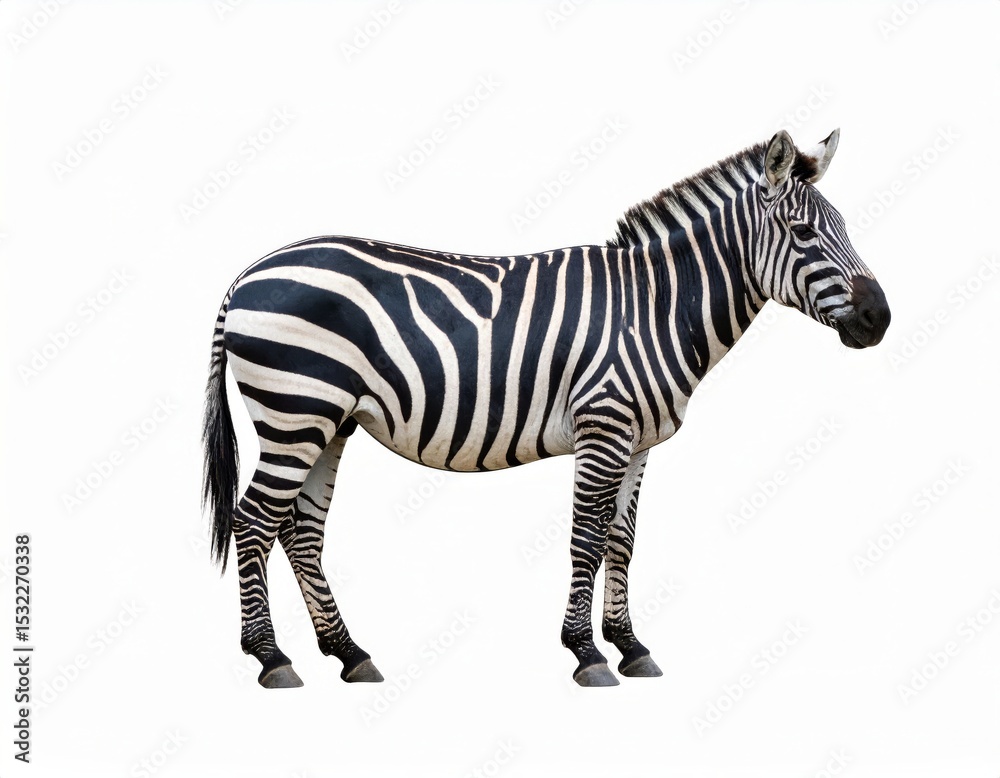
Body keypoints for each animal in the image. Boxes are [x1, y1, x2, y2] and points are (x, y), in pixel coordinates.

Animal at [202, 129, 890, 689]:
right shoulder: (603, 426)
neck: (655, 305)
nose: (879, 319)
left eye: (845, 227)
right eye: (804, 233)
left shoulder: (638, 440)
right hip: (295, 412)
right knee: (254, 521)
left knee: (301, 532)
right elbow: (586, 537)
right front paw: (587, 653)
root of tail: (246, 274)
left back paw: (349, 653)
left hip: (330, 422)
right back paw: (272, 658)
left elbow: (622, 541)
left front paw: (630, 645)